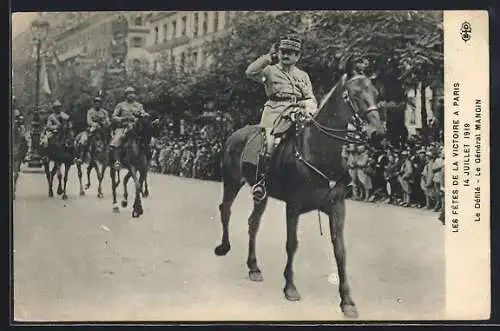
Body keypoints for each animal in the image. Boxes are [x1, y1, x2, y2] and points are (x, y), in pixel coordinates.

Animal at [213, 73, 384, 320]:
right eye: (354, 94)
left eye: (376, 93)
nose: (378, 132)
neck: (317, 151)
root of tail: (235, 133)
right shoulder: (293, 206)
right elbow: (292, 244)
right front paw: (290, 287)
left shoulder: (337, 207)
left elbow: (340, 250)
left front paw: (347, 302)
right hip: (232, 181)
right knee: (225, 209)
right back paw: (224, 247)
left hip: (261, 194)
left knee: (253, 223)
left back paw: (253, 267)